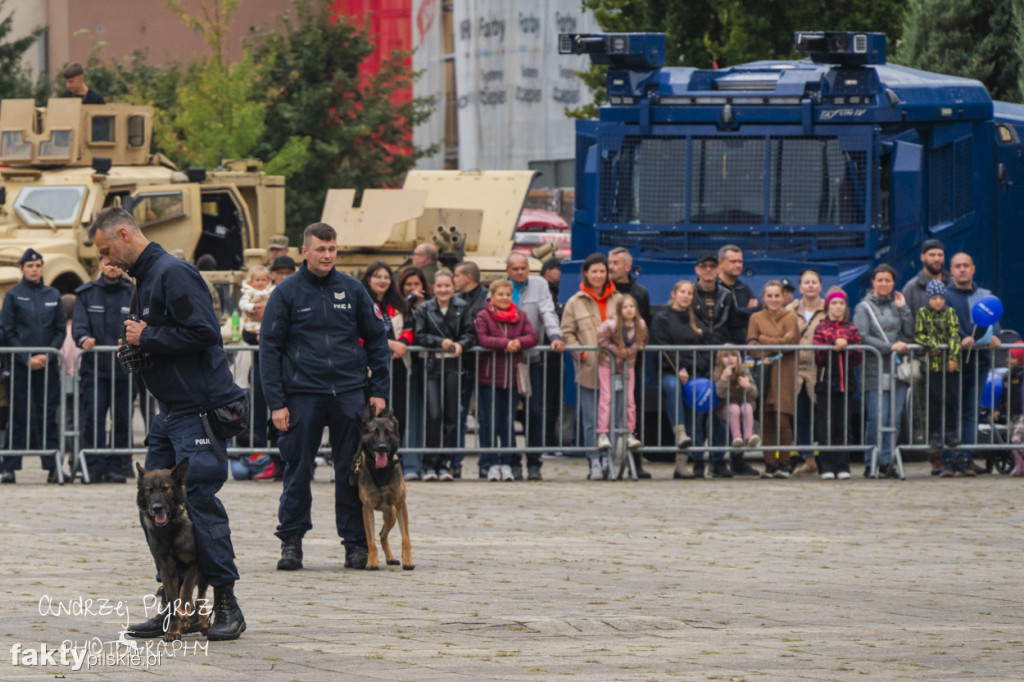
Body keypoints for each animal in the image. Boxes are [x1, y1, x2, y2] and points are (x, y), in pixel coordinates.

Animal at [136, 456, 209, 638]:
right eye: (149, 490)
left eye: (166, 489)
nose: (156, 508)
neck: (170, 529)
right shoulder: (166, 568)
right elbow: (173, 600)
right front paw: (173, 630)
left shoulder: (194, 563)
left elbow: (185, 592)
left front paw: (183, 617)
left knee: (199, 599)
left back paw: (204, 623)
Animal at [352, 403, 411, 569]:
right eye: (374, 432)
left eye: (389, 432)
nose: (382, 447)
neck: (381, 471)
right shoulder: (367, 509)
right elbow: (371, 540)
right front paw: (371, 562)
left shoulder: (401, 505)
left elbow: (406, 537)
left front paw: (408, 561)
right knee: (380, 535)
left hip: (392, 514)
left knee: (383, 535)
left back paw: (392, 558)